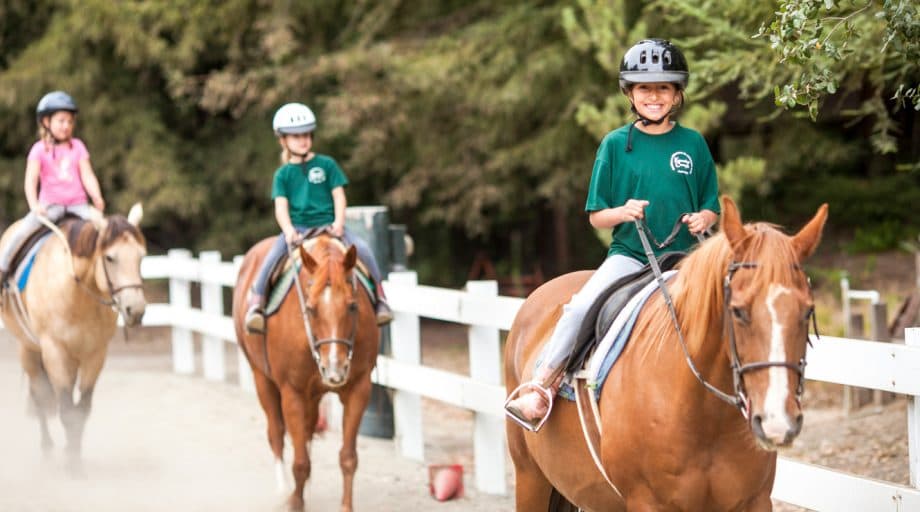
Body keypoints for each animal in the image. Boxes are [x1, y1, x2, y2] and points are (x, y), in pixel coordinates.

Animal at [0, 203, 146, 472]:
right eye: (110, 257)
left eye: (141, 257)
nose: (136, 310)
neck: (76, 292)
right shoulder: (54, 351)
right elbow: (66, 410)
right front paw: (73, 468)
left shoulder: (95, 354)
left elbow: (81, 410)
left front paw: (74, 455)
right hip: (29, 349)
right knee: (39, 395)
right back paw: (47, 449)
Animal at [232, 234, 380, 510]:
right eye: (310, 309)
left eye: (353, 306)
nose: (334, 367)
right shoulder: (292, 393)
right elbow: (299, 461)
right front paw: (295, 502)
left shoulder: (359, 389)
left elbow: (348, 458)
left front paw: (345, 506)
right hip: (262, 379)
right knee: (276, 433)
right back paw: (283, 490)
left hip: (314, 393)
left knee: (308, 430)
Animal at [506, 197, 832, 512]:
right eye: (738, 311)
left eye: (808, 311)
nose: (778, 421)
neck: (703, 415)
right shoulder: (647, 502)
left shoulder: (755, 501)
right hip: (530, 477)